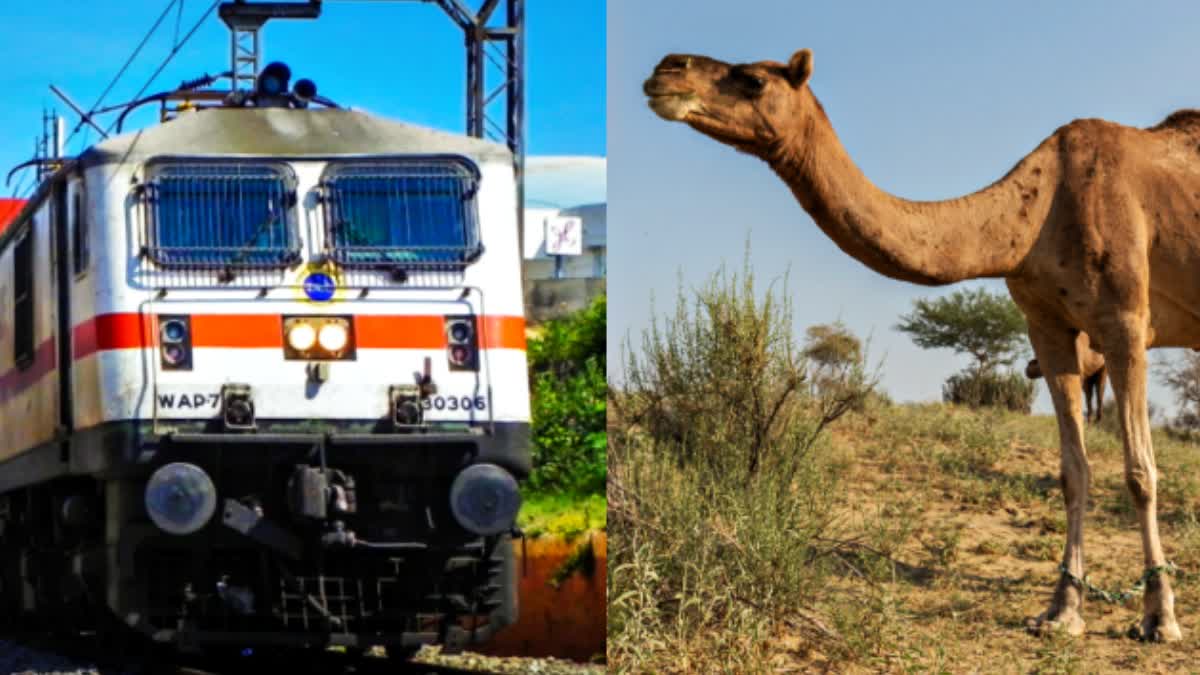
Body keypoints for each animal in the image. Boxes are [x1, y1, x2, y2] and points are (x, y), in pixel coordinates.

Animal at [648, 48, 1200, 638]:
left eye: (752, 80)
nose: (666, 70)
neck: (1036, 215)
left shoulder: (1124, 321)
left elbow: (1140, 473)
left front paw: (1159, 615)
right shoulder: (1046, 325)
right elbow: (1073, 472)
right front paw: (1061, 610)